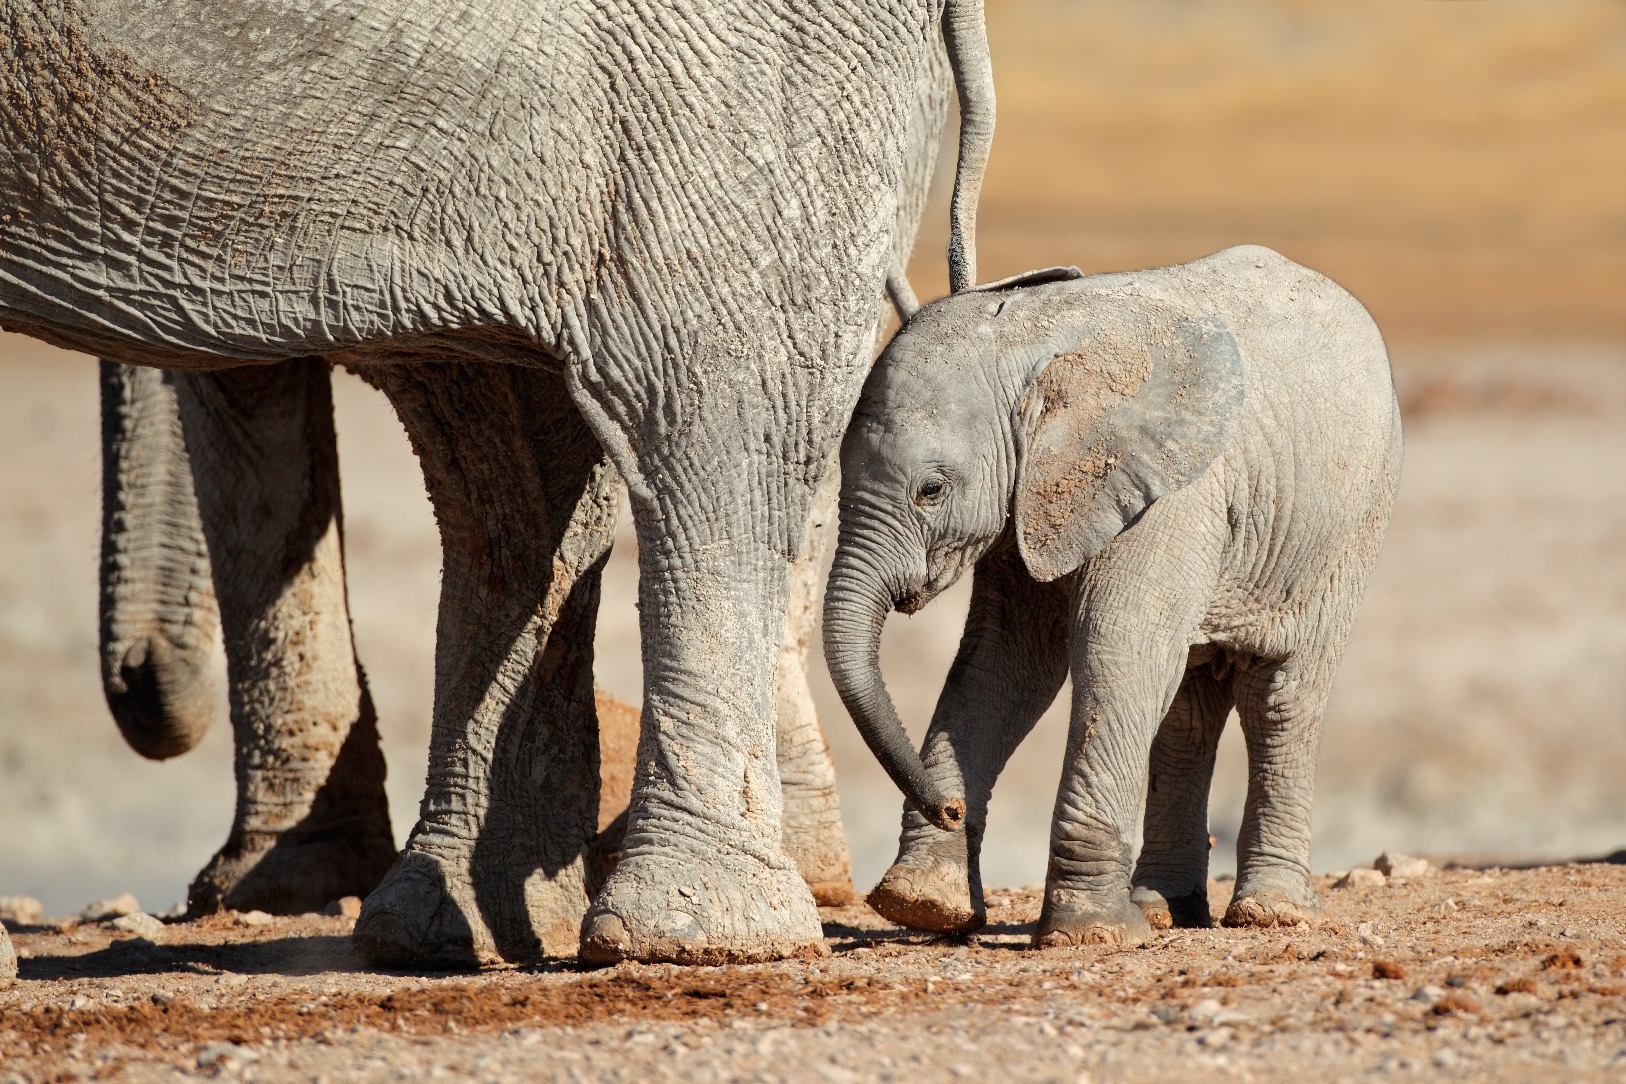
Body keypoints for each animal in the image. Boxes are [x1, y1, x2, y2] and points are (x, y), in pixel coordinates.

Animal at [0, 0, 995, 968]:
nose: (144, 679)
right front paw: (287, 889)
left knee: (718, 395)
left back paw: (695, 937)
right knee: (498, 435)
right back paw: (447, 933)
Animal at [819, 248, 1404, 949]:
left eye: (931, 491)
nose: (949, 807)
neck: (1032, 341)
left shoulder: (1172, 492)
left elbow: (1116, 651)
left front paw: (1089, 931)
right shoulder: (1033, 499)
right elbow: (1004, 663)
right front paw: (923, 904)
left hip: (1349, 525)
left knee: (1282, 695)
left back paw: (1270, 913)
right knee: (1188, 707)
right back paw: (1163, 909)